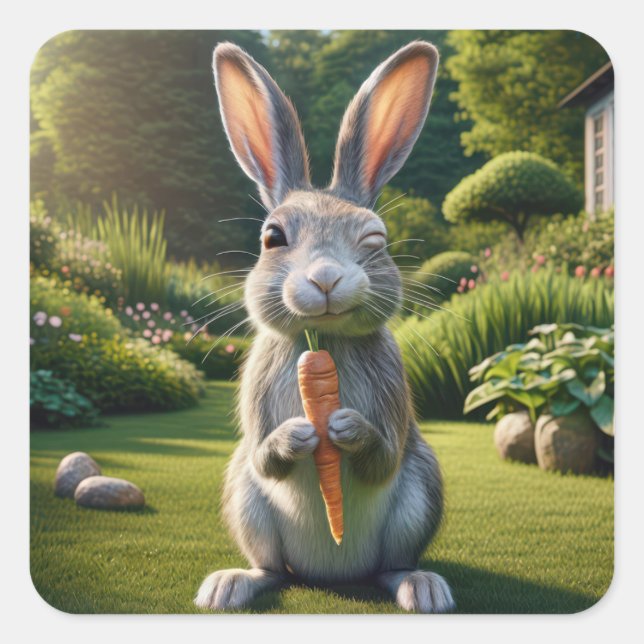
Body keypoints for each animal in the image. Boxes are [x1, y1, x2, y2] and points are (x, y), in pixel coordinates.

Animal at [194, 40, 455, 614]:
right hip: (245, 501)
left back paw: (422, 588)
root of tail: (331, 573)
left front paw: (345, 428)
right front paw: (300, 433)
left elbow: (382, 457)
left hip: (420, 490)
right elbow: (267, 456)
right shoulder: (256, 413)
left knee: (391, 565)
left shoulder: (393, 406)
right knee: (272, 568)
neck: (324, 343)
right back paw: (229, 586)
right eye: (273, 238)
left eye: (376, 238)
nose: (326, 277)